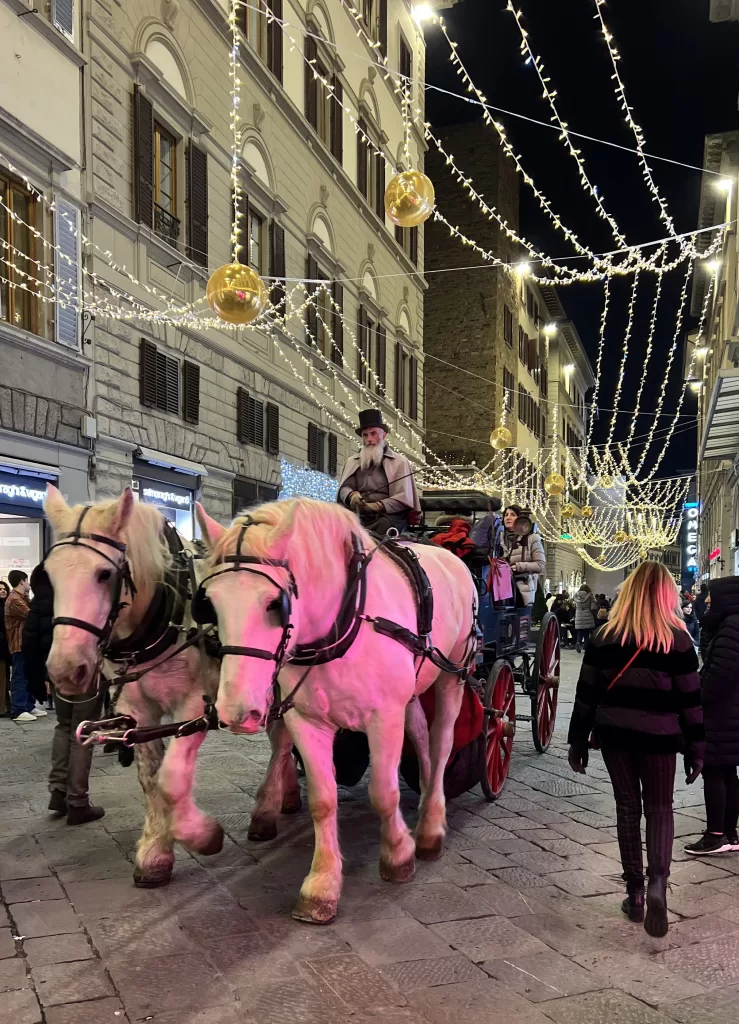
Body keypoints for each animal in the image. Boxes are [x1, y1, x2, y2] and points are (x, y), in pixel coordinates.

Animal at [42, 483, 220, 884]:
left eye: (104, 574)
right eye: (49, 574)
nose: (65, 670)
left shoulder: (195, 705)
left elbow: (172, 777)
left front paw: (202, 835)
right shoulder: (135, 712)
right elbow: (150, 778)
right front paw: (156, 851)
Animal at [192, 497, 474, 929]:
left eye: (275, 603)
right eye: (209, 604)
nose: (236, 711)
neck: (342, 622)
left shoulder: (383, 718)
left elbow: (384, 793)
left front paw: (398, 854)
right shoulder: (306, 721)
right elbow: (322, 801)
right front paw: (321, 885)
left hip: (452, 676)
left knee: (442, 742)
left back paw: (430, 827)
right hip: (412, 687)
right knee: (421, 733)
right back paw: (427, 795)